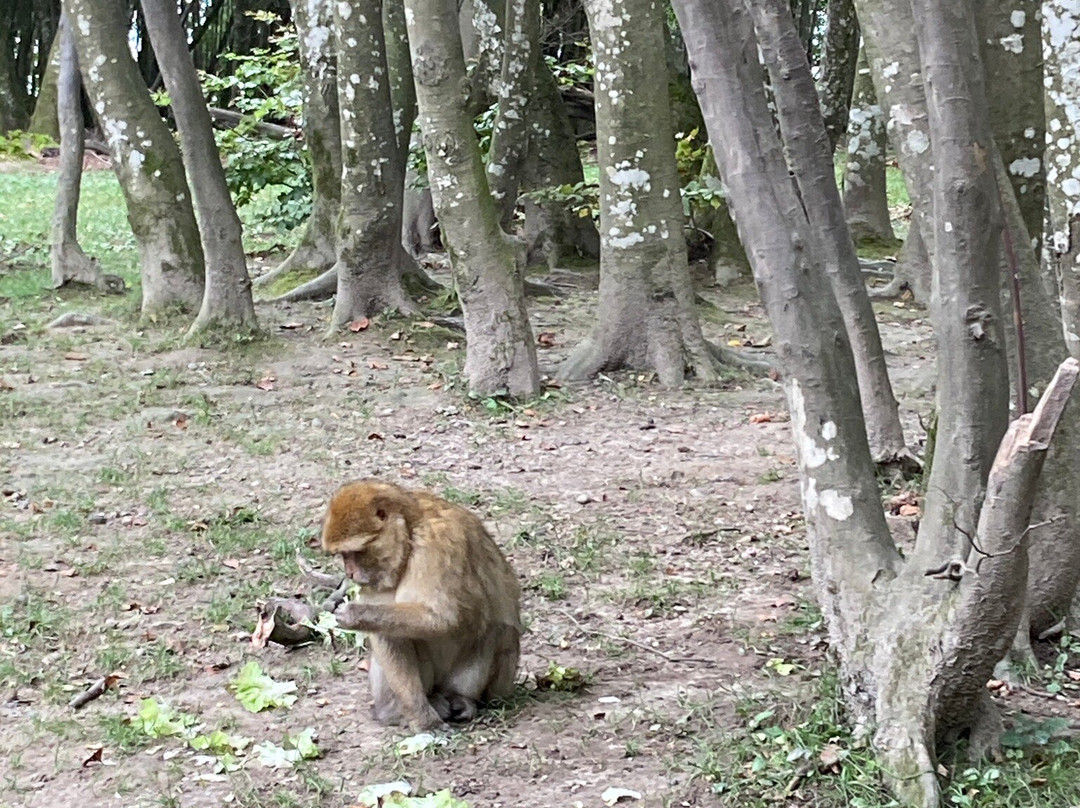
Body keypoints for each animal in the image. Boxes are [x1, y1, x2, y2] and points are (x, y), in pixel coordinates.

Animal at [321, 479, 521, 732]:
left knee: (497, 629)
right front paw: (422, 718)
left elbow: (443, 618)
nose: (349, 573)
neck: (410, 533)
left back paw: (462, 699)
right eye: (343, 555)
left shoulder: (438, 544)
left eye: (354, 552)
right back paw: (401, 709)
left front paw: (355, 613)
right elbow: (389, 636)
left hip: (495, 688)